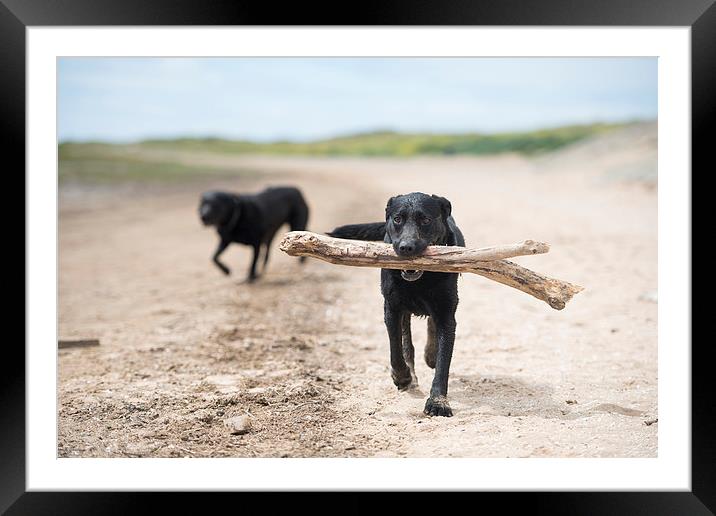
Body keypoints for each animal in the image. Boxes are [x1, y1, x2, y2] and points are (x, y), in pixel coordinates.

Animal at [328, 191, 468, 418]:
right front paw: (402, 376)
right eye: (397, 219)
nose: (406, 247)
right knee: (406, 343)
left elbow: (442, 362)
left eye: (426, 220)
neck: (420, 280)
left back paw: (430, 354)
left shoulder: (447, 312)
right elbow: (396, 348)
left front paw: (438, 402)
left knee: (430, 330)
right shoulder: (392, 308)